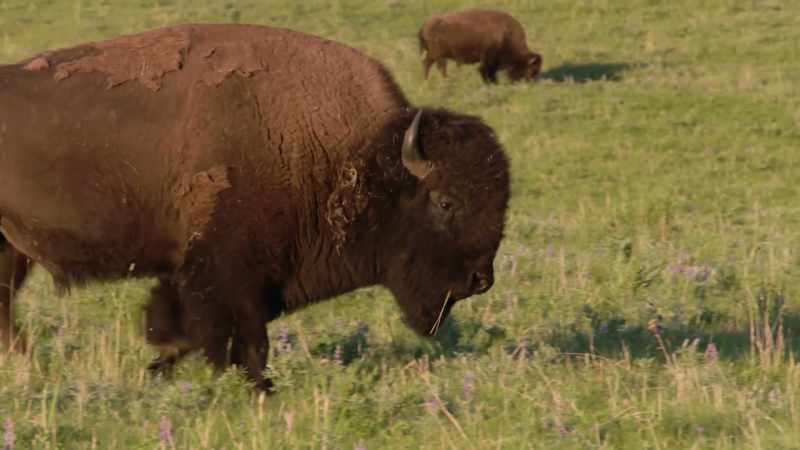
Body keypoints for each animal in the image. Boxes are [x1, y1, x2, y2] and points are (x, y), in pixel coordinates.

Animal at [0, 24, 510, 390]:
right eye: (445, 200)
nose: (480, 280)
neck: (353, 154)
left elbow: (184, 323)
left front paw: (160, 362)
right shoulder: (227, 271)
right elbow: (240, 338)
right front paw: (255, 388)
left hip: (10, 248)